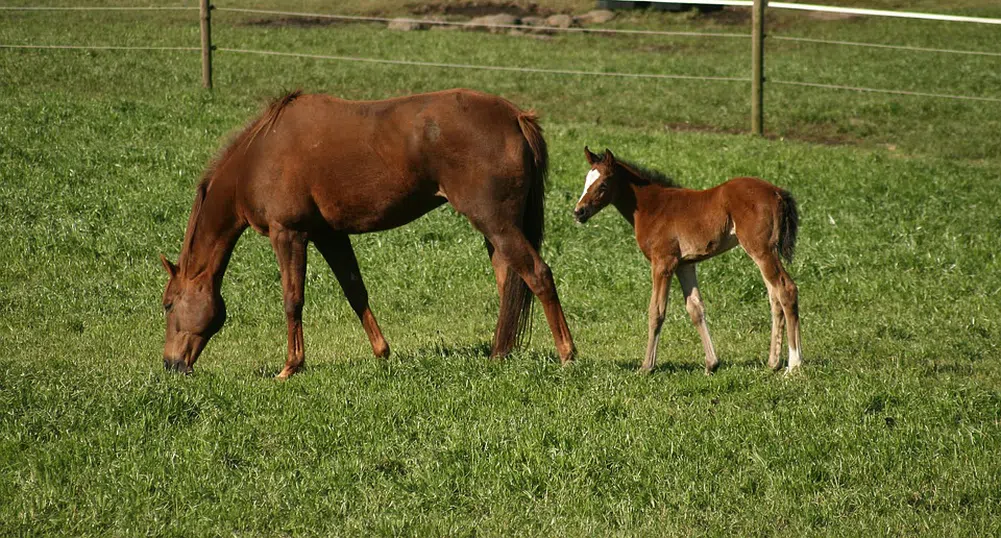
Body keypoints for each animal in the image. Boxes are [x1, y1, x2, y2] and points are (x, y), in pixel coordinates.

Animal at [159, 89, 576, 376]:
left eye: (167, 304)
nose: (170, 364)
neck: (258, 155)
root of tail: (515, 117)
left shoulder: (289, 234)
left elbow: (293, 299)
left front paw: (291, 366)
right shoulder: (329, 235)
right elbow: (355, 291)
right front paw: (382, 352)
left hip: (496, 224)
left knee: (537, 275)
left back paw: (567, 354)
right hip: (496, 231)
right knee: (510, 286)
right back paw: (499, 354)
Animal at [576, 147, 800, 372]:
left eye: (603, 184)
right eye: (586, 180)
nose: (579, 211)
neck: (653, 206)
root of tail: (777, 192)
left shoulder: (663, 263)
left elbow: (656, 311)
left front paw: (647, 366)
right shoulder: (685, 265)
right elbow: (695, 309)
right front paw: (711, 364)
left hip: (761, 250)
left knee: (786, 289)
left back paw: (794, 365)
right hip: (765, 252)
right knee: (774, 297)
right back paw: (773, 362)